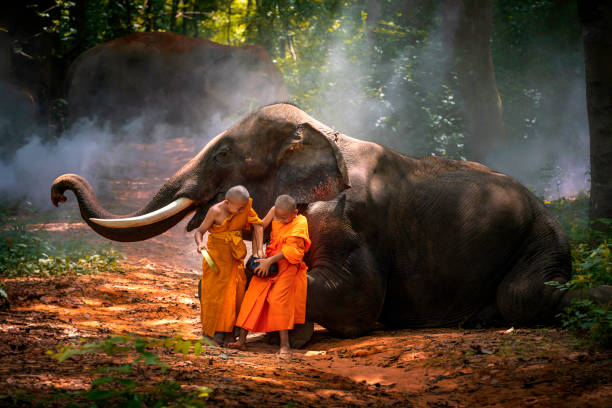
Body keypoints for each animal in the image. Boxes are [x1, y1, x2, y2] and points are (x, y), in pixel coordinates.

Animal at [51, 103, 608, 340]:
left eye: (225, 153)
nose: (58, 190)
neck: (323, 129)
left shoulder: (350, 220)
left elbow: (357, 295)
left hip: (542, 238)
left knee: (525, 297)